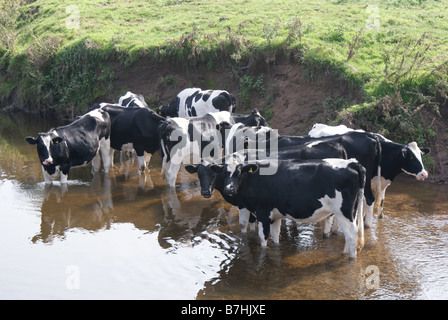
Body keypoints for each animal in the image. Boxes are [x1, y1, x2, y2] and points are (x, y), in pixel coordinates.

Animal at [208, 155, 366, 260]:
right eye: (224, 172)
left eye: (239, 172)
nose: (229, 189)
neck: (254, 178)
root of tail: (351, 163)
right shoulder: (275, 216)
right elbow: (275, 237)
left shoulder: (263, 213)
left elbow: (263, 239)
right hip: (352, 212)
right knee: (349, 234)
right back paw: (345, 253)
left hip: (343, 212)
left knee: (352, 235)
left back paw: (351, 258)